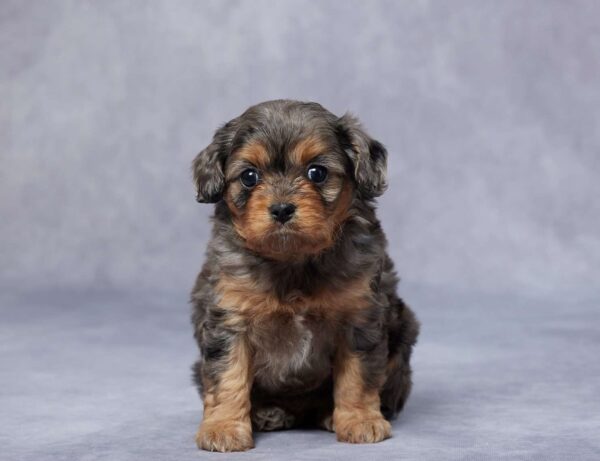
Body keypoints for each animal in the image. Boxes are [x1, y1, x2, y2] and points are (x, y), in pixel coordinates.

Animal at [190, 99, 420, 450]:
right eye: (249, 177)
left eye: (317, 172)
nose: (282, 208)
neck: (293, 259)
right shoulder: (228, 320)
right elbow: (227, 376)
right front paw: (224, 428)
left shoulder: (360, 318)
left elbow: (358, 376)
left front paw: (359, 420)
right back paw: (268, 414)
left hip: (403, 331)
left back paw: (328, 414)